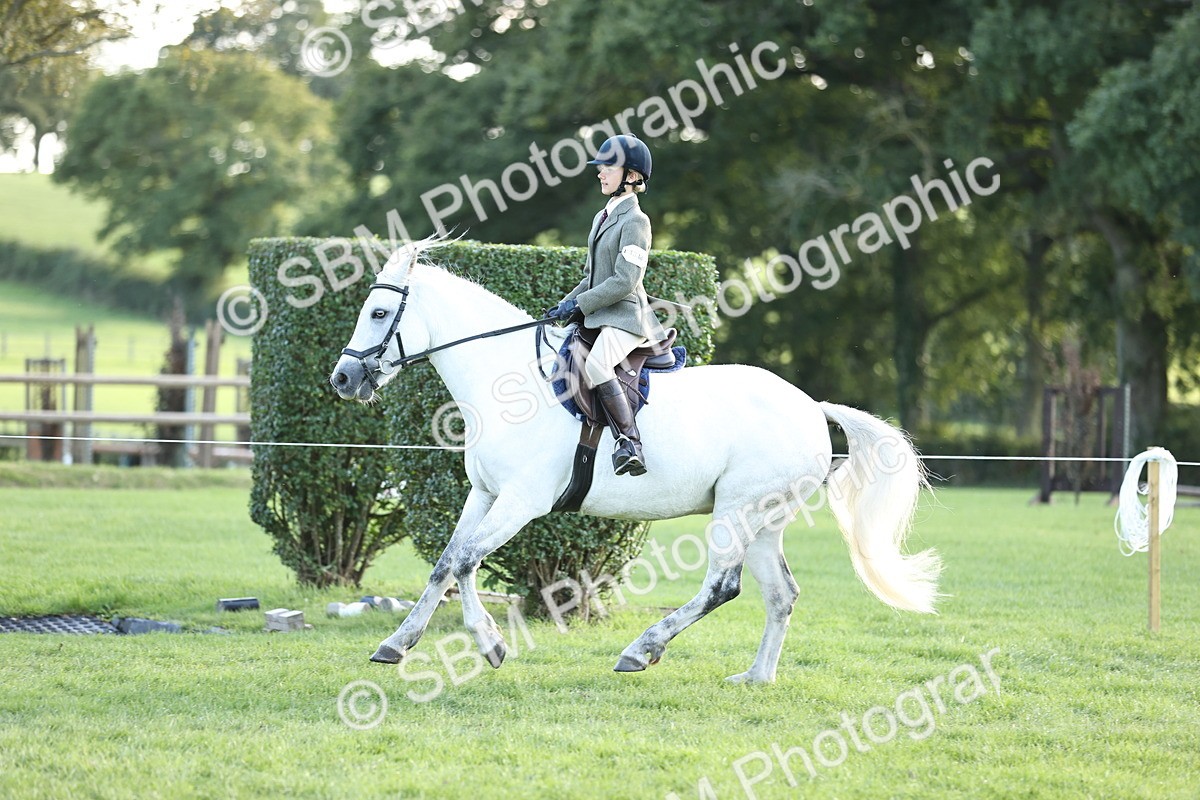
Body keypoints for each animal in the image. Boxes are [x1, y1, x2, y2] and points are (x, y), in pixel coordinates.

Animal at [329, 239, 941, 684]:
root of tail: (811, 407)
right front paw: (396, 644)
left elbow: (464, 562)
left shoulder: (522, 501)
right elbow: (445, 564)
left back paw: (641, 650)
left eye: (379, 312)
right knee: (780, 594)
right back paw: (756, 677)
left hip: (737, 510)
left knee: (722, 587)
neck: (507, 384)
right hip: (765, 519)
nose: (343, 378)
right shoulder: (484, 494)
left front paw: (492, 645)